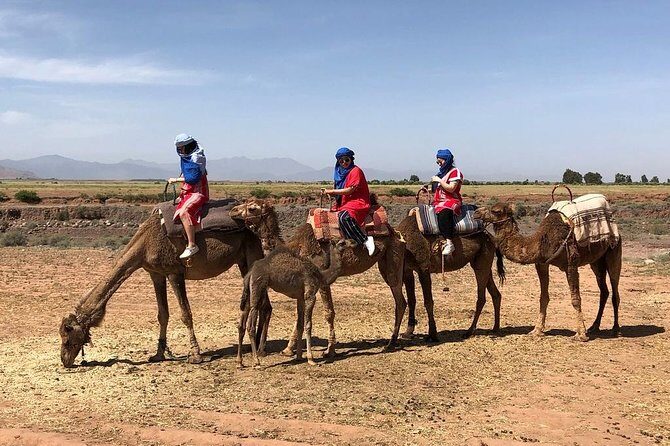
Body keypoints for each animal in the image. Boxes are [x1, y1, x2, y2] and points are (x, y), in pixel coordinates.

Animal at [59, 210, 269, 367]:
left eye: (68, 336)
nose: (64, 360)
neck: (145, 243)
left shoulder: (174, 272)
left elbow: (185, 314)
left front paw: (195, 355)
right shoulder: (156, 273)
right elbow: (162, 314)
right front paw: (158, 354)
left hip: (252, 253)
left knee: (265, 304)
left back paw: (261, 349)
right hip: (243, 261)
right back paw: (256, 345)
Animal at [229, 198, 408, 355]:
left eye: (252, 208)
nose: (233, 211)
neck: (297, 247)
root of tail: (395, 232)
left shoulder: (321, 277)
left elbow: (329, 312)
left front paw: (330, 350)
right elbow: (299, 316)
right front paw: (288, 349)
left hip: (393, 255)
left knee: (399, 298)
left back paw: (391, 343)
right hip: (387, 260)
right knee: (400, 299)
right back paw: (392, 341)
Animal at [474, 203, 622, 341]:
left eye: (496, 211)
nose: (476, 213)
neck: (542, 240)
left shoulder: (571, 264)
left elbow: (575, 299)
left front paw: (580, 334)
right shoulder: (541, 264)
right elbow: (543, 297)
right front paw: (537, 330)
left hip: (614, 250)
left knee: (615, 289)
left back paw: (615, 330)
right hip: (596, 262)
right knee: (604, 290)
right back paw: (594, 326)